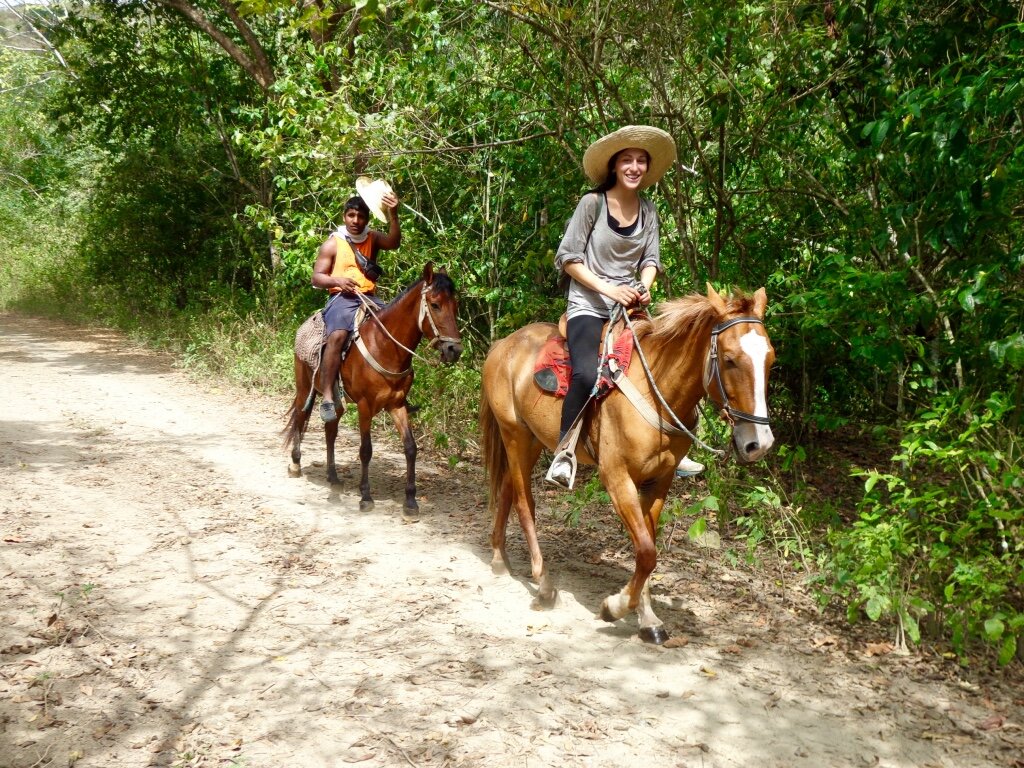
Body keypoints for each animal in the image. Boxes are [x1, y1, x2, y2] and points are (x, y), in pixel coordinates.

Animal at [288, 264, 464, 524]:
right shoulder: (365, 406)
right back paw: (295, 464)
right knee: (300, 419)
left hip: (337, 400)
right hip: (303, 388)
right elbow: (366, 450)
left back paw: (333, 478)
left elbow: (410, 448)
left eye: (455, 305)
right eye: (435, 305)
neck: (385, 347)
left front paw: (410, 502)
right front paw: (365, 498)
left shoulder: (397, 405)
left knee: (330, 431)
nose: (454, 350)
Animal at [479, 282, 774, 643]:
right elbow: (647, 553)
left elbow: (647, 549)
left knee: (508, 488)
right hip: (514, 434)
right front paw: (615, 607)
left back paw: (499, 558)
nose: (758, 443)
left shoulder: (659, 481)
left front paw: (648, 619)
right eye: (730, 360)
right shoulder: (617, 478)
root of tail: (502, 345)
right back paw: (544, 585)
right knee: (524, 502)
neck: (657, 390)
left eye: (771, 358)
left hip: (531, 440)